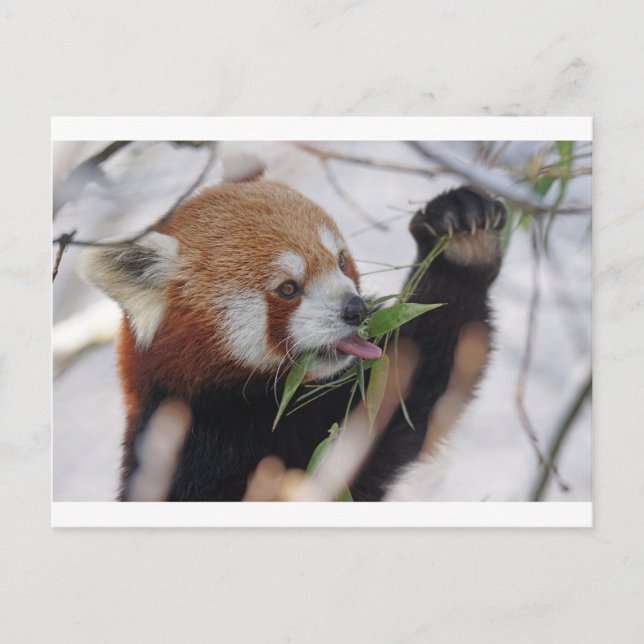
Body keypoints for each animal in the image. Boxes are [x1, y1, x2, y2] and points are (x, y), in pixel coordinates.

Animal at [80, 179, 506, 501]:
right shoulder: (181, 456)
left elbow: (414, 382)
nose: (356, 310)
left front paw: (461, 235)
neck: (257, 411)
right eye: (288, 289)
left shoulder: (339, 415)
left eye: (340, 261)